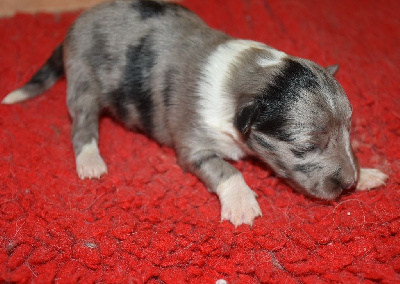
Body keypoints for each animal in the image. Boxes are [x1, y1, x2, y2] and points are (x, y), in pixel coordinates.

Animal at [1, 0, 386, 226]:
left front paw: (366, 174)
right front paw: (241, 201)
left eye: (349, 132)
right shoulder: (193, 146)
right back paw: (91, 161)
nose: (348, 184)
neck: (250, 76)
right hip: (83, 82)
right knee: (81, 125)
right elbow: (226, 169)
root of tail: (73, 24)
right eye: (306, 146)